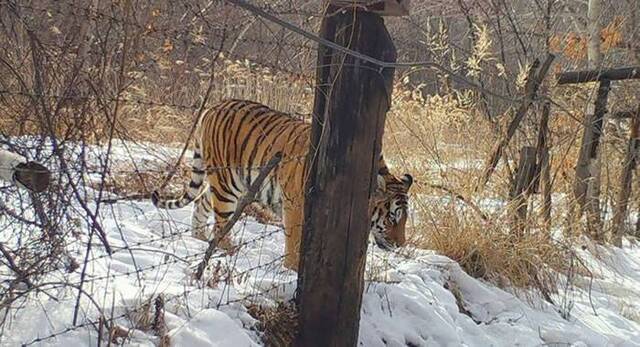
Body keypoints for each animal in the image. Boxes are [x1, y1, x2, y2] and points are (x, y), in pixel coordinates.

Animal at [154, 99, 416, 270]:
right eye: (392, 217)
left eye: (404, 220)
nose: (400, 245)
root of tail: (213, 107)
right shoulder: (296, 206)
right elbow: (294, 241)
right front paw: (291, 270)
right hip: (227, 185)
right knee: (220, 224)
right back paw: (228, 251)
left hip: (225, 183)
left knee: (202, 204)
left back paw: (198, 239)